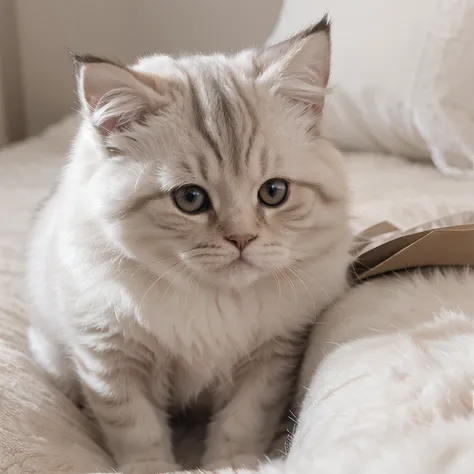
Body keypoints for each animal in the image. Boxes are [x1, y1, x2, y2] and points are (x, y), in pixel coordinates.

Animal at [25, 18, 352, 474]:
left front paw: (231, 465)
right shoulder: (110, 355)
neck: (211, 300)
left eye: (274, 192)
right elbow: (136, 428)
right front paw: (151, 469)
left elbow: (241, 421)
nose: (241, 239)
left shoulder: (272, 356)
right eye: (190, 199)